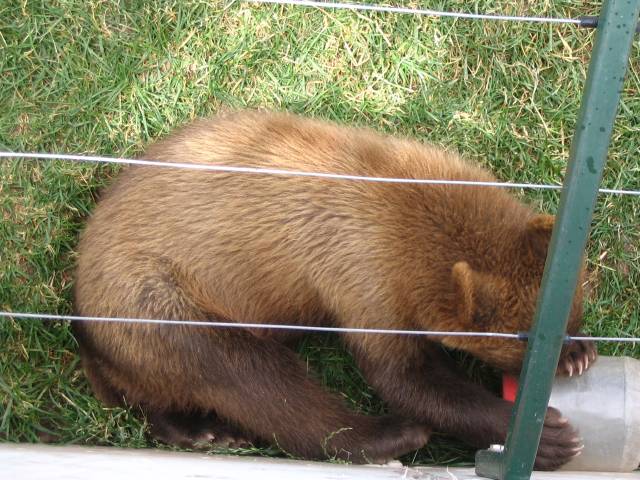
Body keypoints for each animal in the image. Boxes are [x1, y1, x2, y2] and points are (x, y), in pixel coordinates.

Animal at [74, 109, 596, 468]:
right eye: (521, 345)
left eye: (572, 311)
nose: (570, 348)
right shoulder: (362, 281)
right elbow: (405, 378)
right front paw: (547, 434)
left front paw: (580, 354)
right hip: (157, 299)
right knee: (252, 378)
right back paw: (387, 435)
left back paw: (200, 429)